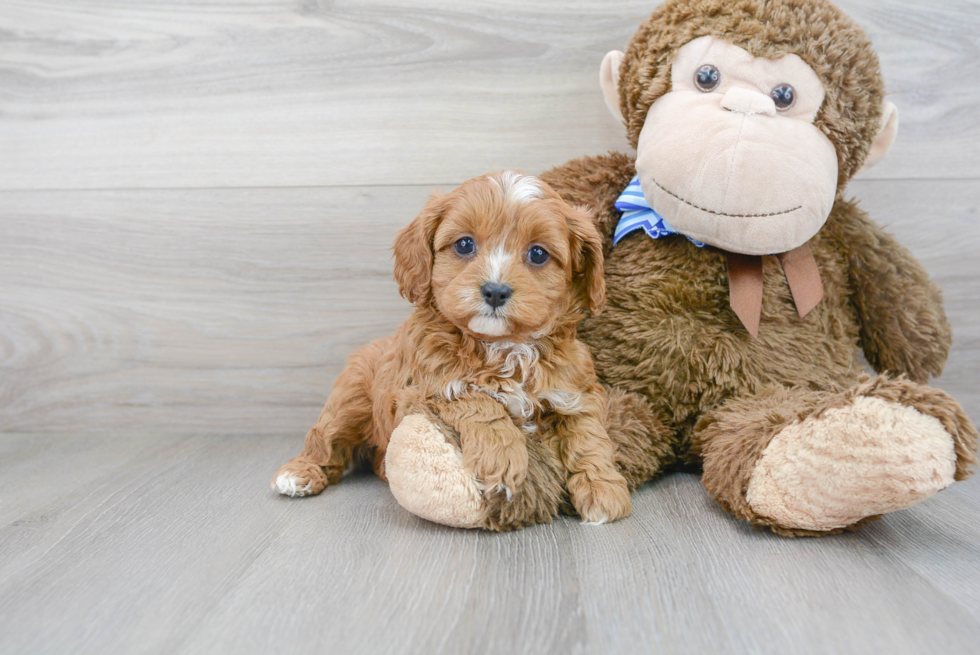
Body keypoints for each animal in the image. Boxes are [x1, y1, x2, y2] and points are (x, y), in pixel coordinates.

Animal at [272, 169, 632, 528]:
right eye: (464, 244)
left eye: (538, 254)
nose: (495, 291)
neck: (503, 347)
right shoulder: (423, 389)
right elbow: (476, 399)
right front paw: (502, 461)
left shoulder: (575, 393)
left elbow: (589, 436)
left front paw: (604, 490)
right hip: (350, 398)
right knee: (326, 439)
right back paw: (298, 474)